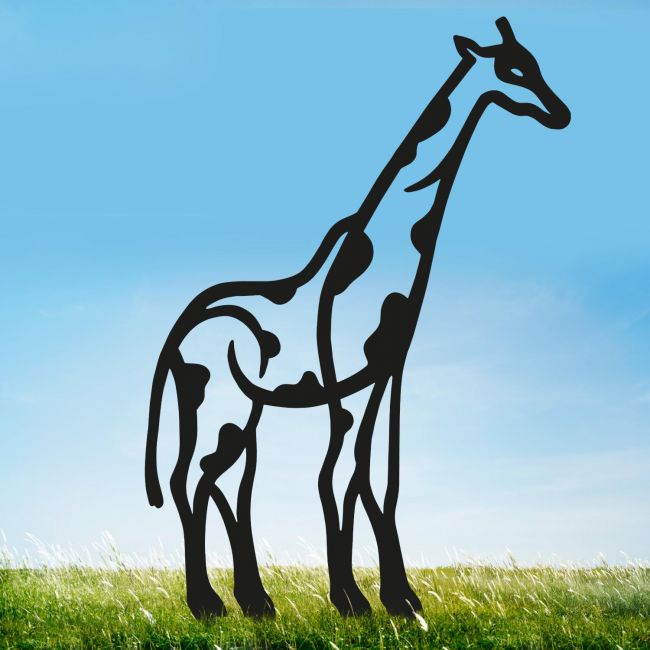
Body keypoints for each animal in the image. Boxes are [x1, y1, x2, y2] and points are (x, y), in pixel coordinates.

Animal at [145, 17, 570, 619]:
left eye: (536, 62)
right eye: (512, 69)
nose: (561, 113)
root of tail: (179, 328)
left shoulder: (388, 371)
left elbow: (377, 475)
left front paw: (395, 597)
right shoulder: (340, 379)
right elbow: (337, 472)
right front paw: (357, 599)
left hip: (247, 406)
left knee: (227, 480)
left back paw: (254, 601)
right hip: (211, 399)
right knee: (195, 478)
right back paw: (208, 603)